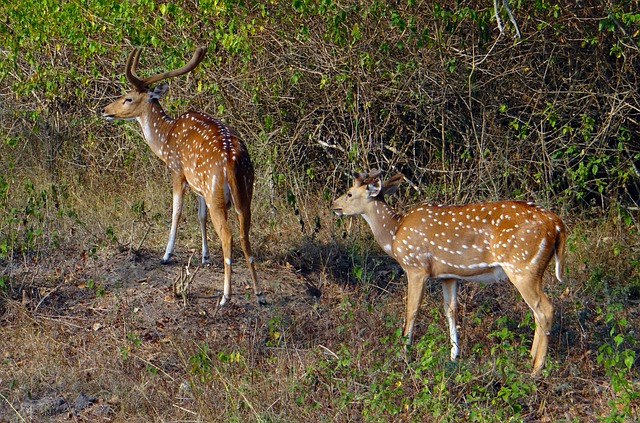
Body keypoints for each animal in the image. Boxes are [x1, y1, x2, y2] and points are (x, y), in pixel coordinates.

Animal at [102, 45, 264, 304]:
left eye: (128, 98)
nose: (104, 110)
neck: (164, 139)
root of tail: (232, 162)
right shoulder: (198, 185)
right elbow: (200, 215)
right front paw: (205, 257)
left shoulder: (177, 170)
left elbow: (176, 211)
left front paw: (166, 255)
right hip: (244, 192)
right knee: (244, 234)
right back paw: (259, 294)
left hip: (217, 196)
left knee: (228, 236)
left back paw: (225, 296)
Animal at [332, 171, 568, 376]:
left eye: (349, 193)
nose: (335, 205)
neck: (394, 235)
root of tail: (557, 225)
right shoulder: (448, 275)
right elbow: (450, 310)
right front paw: (454, 355)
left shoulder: (416, 267)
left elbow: (412, 309)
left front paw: (404, 352)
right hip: (531, 270)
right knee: (537, 312)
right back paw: (530, 358)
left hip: (523, 267)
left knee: (546, 309)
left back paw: (536, 369)